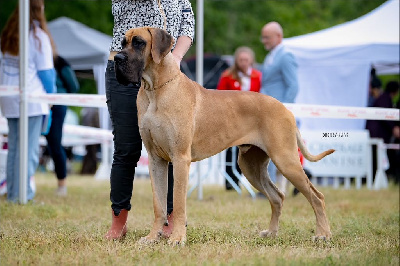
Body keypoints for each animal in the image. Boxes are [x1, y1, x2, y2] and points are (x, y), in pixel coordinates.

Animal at [113, 27, 334, 245]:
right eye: (122, 43)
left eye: (139, 42)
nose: (117, 58)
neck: (155, 89)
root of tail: (286, 109)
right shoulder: (156, 160)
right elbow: (158, 204)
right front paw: (152, 237)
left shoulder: (180, 159)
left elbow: (178, 203)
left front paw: (177, 238)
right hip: (251, 166)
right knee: (277, 197)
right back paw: (271, 233)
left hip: (286, 160)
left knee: (317, 197)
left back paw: (323, 234)